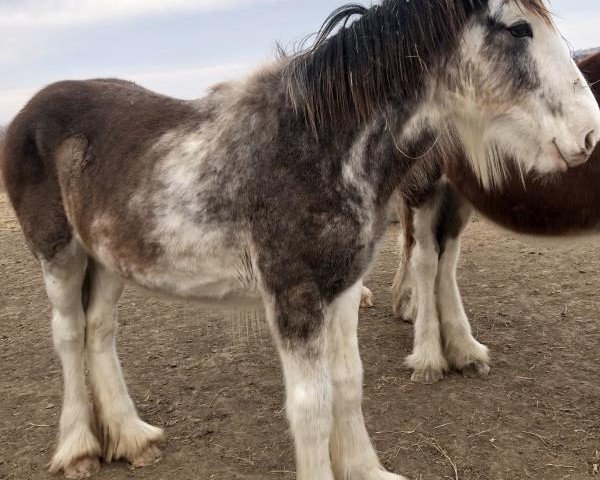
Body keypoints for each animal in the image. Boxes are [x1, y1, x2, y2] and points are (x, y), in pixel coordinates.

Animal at [386, 50, 600, 384]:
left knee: (444, 259)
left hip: (457, 195)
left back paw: (463, 350)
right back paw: (427, 356)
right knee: (424, 259)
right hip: (426, 186)